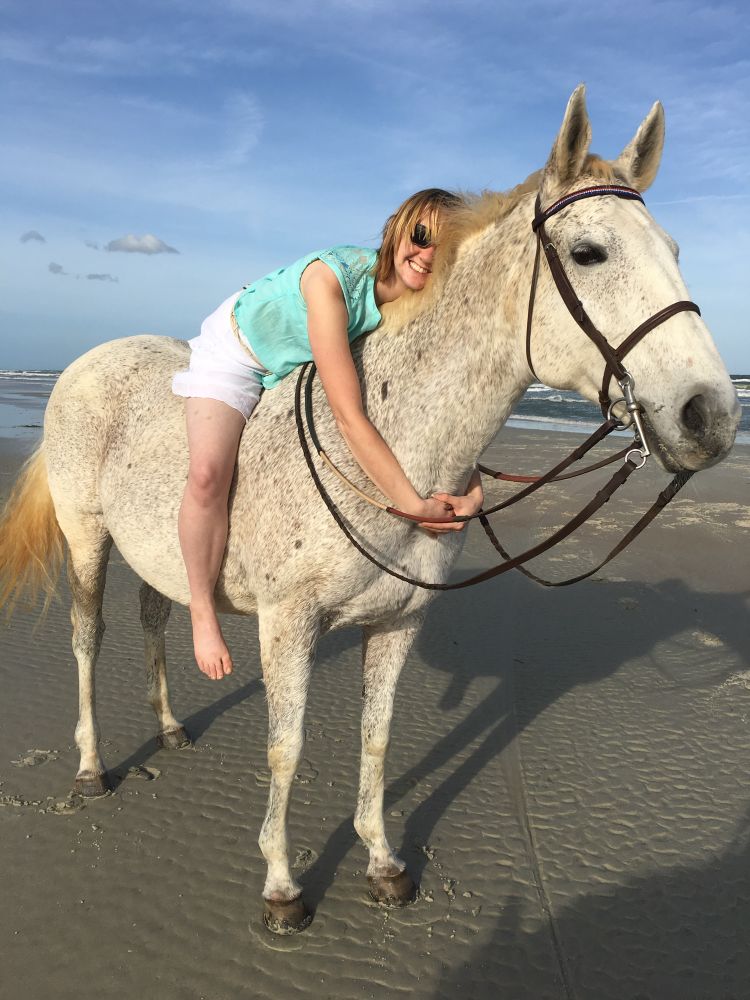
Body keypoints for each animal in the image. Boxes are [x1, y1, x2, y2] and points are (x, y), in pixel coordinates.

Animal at [0, 86, 739, 934]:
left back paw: (170, 727)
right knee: (87, 640)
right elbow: (286, 750)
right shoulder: (289, 628)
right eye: (590, 253)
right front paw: (282, 886)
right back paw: (91, 769)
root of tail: (88, 360)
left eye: (675, 249)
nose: (711, 415)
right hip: (87, 537)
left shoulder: (398, 624)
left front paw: (383, 862)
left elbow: (377, 741)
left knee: (156, 617)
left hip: (155, 551)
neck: (393, 452)